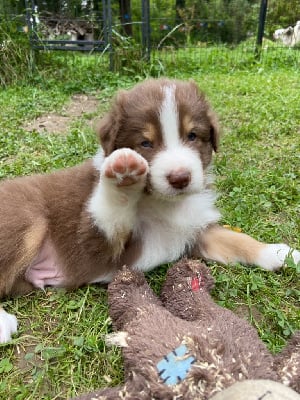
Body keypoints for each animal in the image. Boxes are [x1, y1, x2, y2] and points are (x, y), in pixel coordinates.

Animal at [0, 78, 300, 344]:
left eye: (192, 136)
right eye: (145, 143)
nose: (180, 178)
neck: (166, 203)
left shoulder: (195, 230)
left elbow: (237, 239)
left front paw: (280, 254)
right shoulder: (100, 243)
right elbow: (112, 208)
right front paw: (123, 174)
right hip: (28, 218)